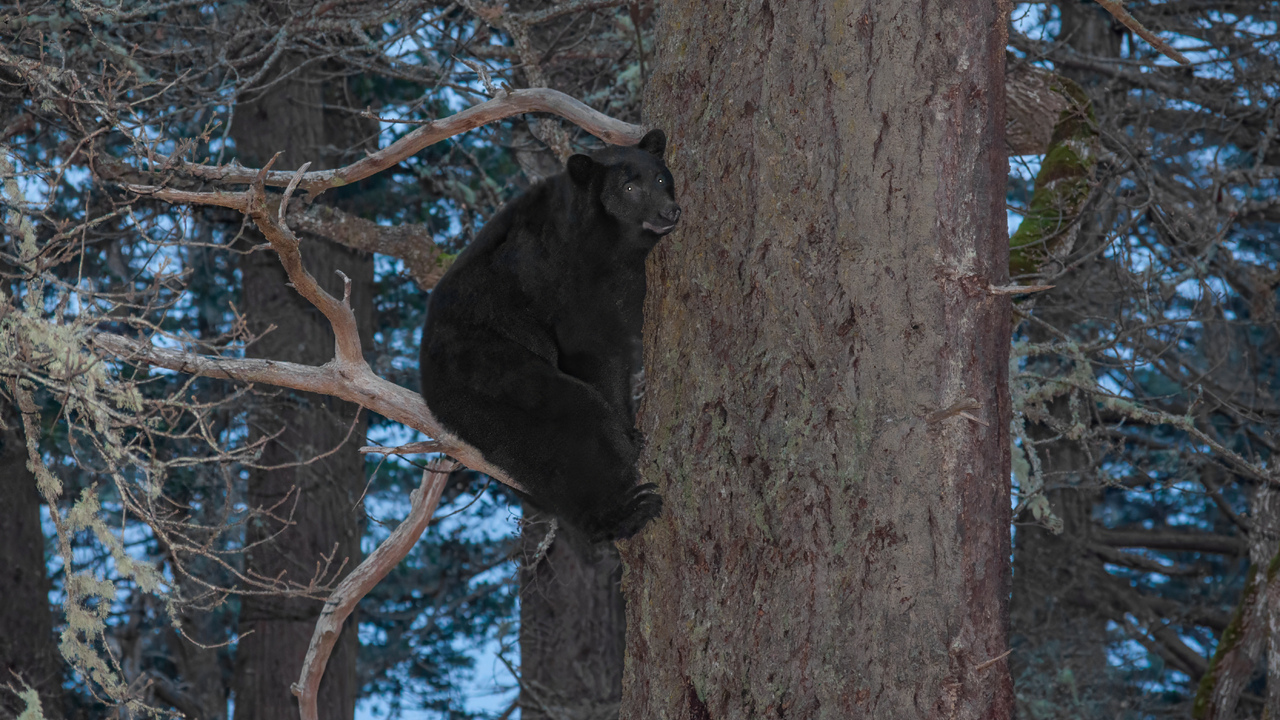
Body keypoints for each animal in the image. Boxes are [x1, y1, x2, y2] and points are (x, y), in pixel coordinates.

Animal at [419, 129, 680, 541]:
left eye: (659, 178)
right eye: (629, 187)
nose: (669, 212)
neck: (603, 241)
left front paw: (630, 430)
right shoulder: (563, 277)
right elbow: (589, 348)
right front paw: (626, 430)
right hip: (490, 368)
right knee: (567, 419)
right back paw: (626, 513)